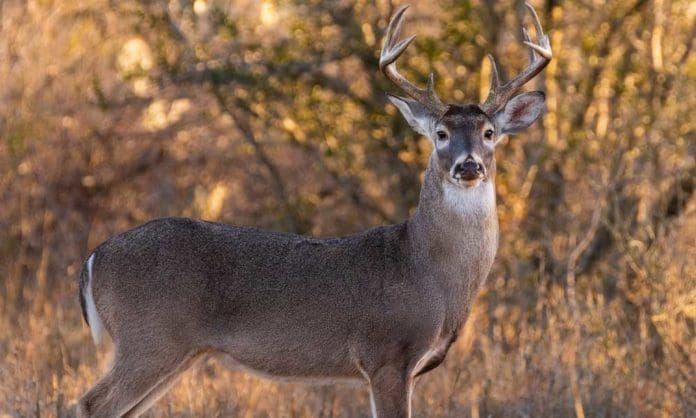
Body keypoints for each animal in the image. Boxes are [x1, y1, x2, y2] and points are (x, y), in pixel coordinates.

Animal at [76, 3, 551, 417]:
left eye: (489, 133)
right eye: (440, 133)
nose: (468, 165)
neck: (428, 270)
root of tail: (94, 258)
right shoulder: (386, 354)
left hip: (176, 351)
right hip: (151, 337)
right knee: (92, 403)